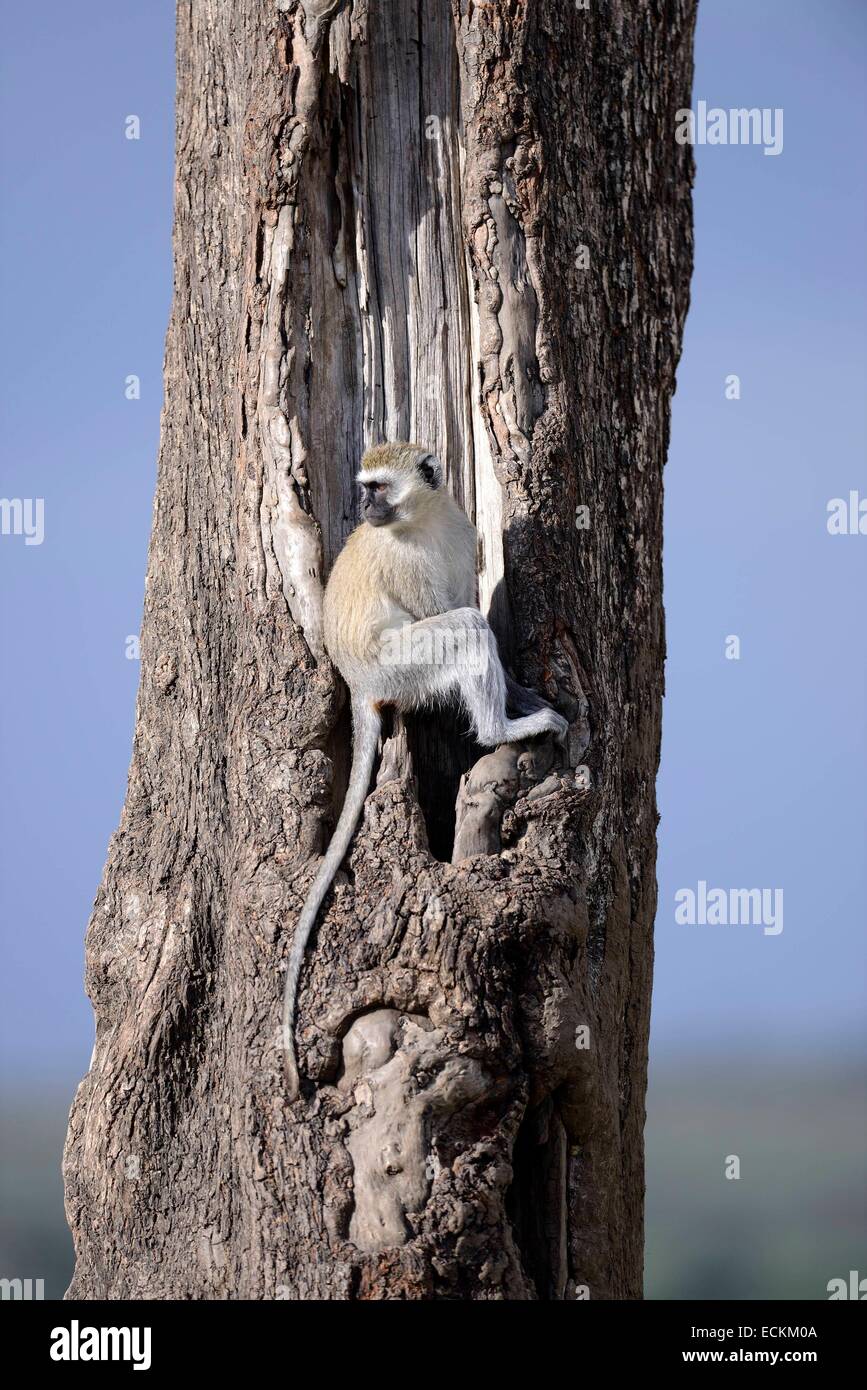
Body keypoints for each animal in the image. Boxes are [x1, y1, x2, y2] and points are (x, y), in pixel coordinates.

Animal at [283, 442, 569, 1095]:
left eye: (377, 487)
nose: (364, 508)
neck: (423, 519)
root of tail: (361, 685)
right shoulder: (405, 564)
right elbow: (454, 613)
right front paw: (521, 706)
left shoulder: (460, 534)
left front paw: (525, 693)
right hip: (399, 666)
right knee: (463, 628)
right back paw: (499, 732)